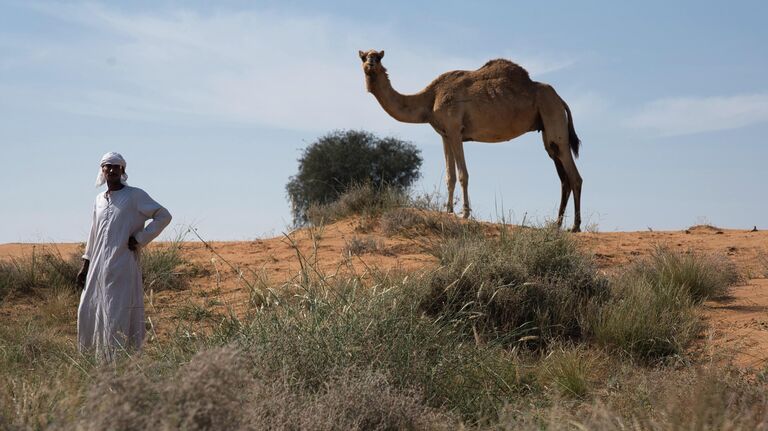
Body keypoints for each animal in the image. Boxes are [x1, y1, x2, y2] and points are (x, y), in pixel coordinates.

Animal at [360, 49, 584, 233]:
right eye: (363, 57)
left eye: (378, 57)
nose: (369, 65)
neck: (430, 99)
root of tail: (561, 99)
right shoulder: (444, 134)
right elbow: (449, 176)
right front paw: (449, 211)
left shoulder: (455, 130)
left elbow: (462, 175)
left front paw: (465, 213)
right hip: (547, 130)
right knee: (563, 177)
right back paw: (556, 225)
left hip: (553, 116)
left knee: (574, 176)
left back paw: (575, 226)